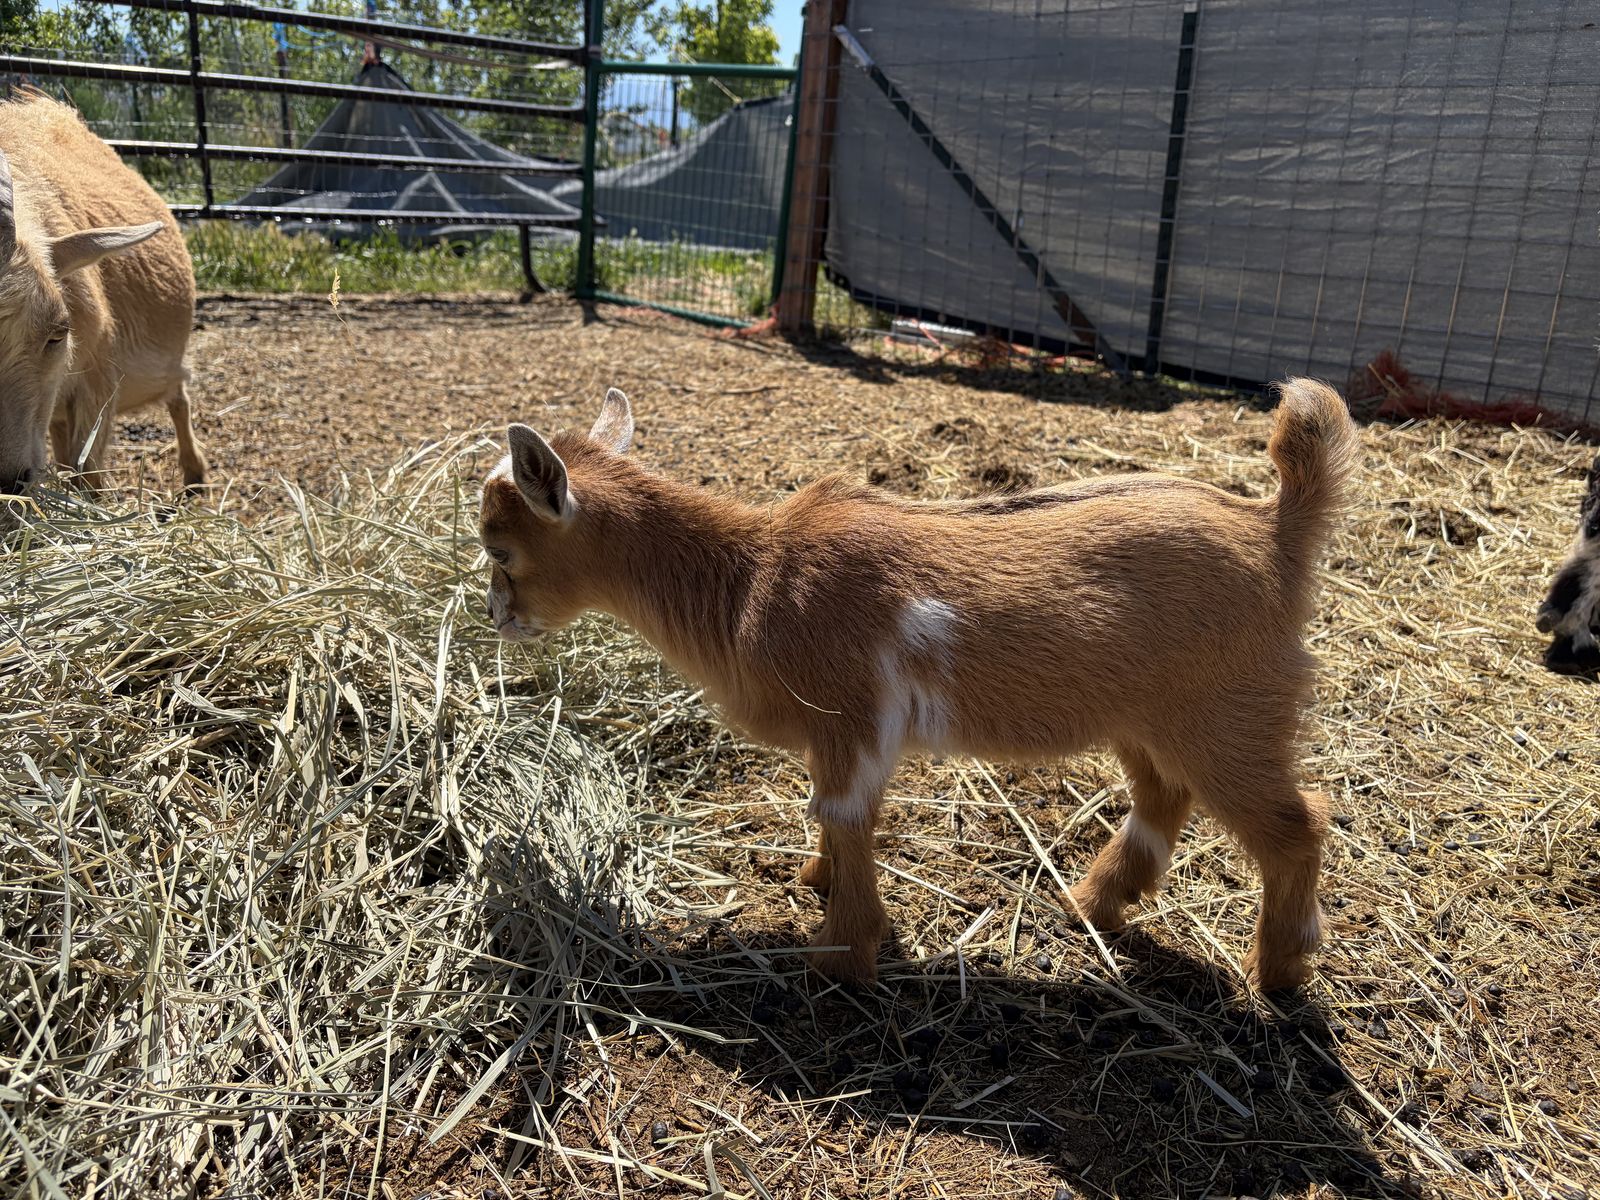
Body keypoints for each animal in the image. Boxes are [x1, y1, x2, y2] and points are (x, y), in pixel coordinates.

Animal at [0, 91, 205, 508]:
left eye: (58, 332)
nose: (9, 480)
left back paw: (195, 475)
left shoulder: (98, 380)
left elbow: (89, 477)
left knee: (178, 396)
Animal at [479, 379, 1359, 991]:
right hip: (1151, 718)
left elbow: (844, 815)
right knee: (1163, 797)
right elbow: (834, 818)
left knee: (1298, 823)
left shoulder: (849, 716)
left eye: (499, 547)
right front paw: (816, 883)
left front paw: (839, 959)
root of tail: (1277, 529)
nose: (496, 617)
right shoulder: (839, 733)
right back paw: (1090, 904)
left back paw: (1279, 973)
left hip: (1230, 716)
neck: (752, 579)